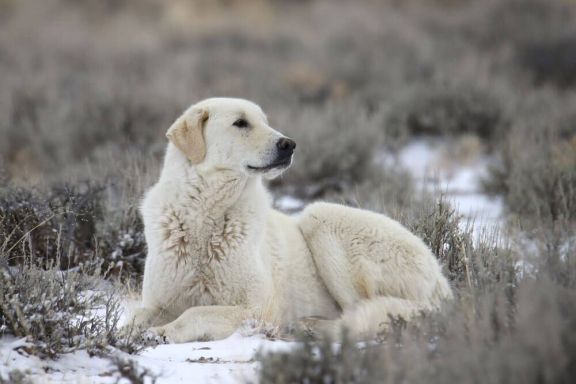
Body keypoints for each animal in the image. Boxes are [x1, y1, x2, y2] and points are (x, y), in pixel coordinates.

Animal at [128, 97, 452, 344]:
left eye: (263, 120)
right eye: (240, 123)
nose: (290, 144)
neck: (206, 215)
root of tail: (441, 281)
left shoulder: (257, 308)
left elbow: (196, 313)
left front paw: (162, 333)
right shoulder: (160, 300)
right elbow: (138, 314)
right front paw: (130, 332)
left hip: (321, 218)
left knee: (362, 314)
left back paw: (311, 327)